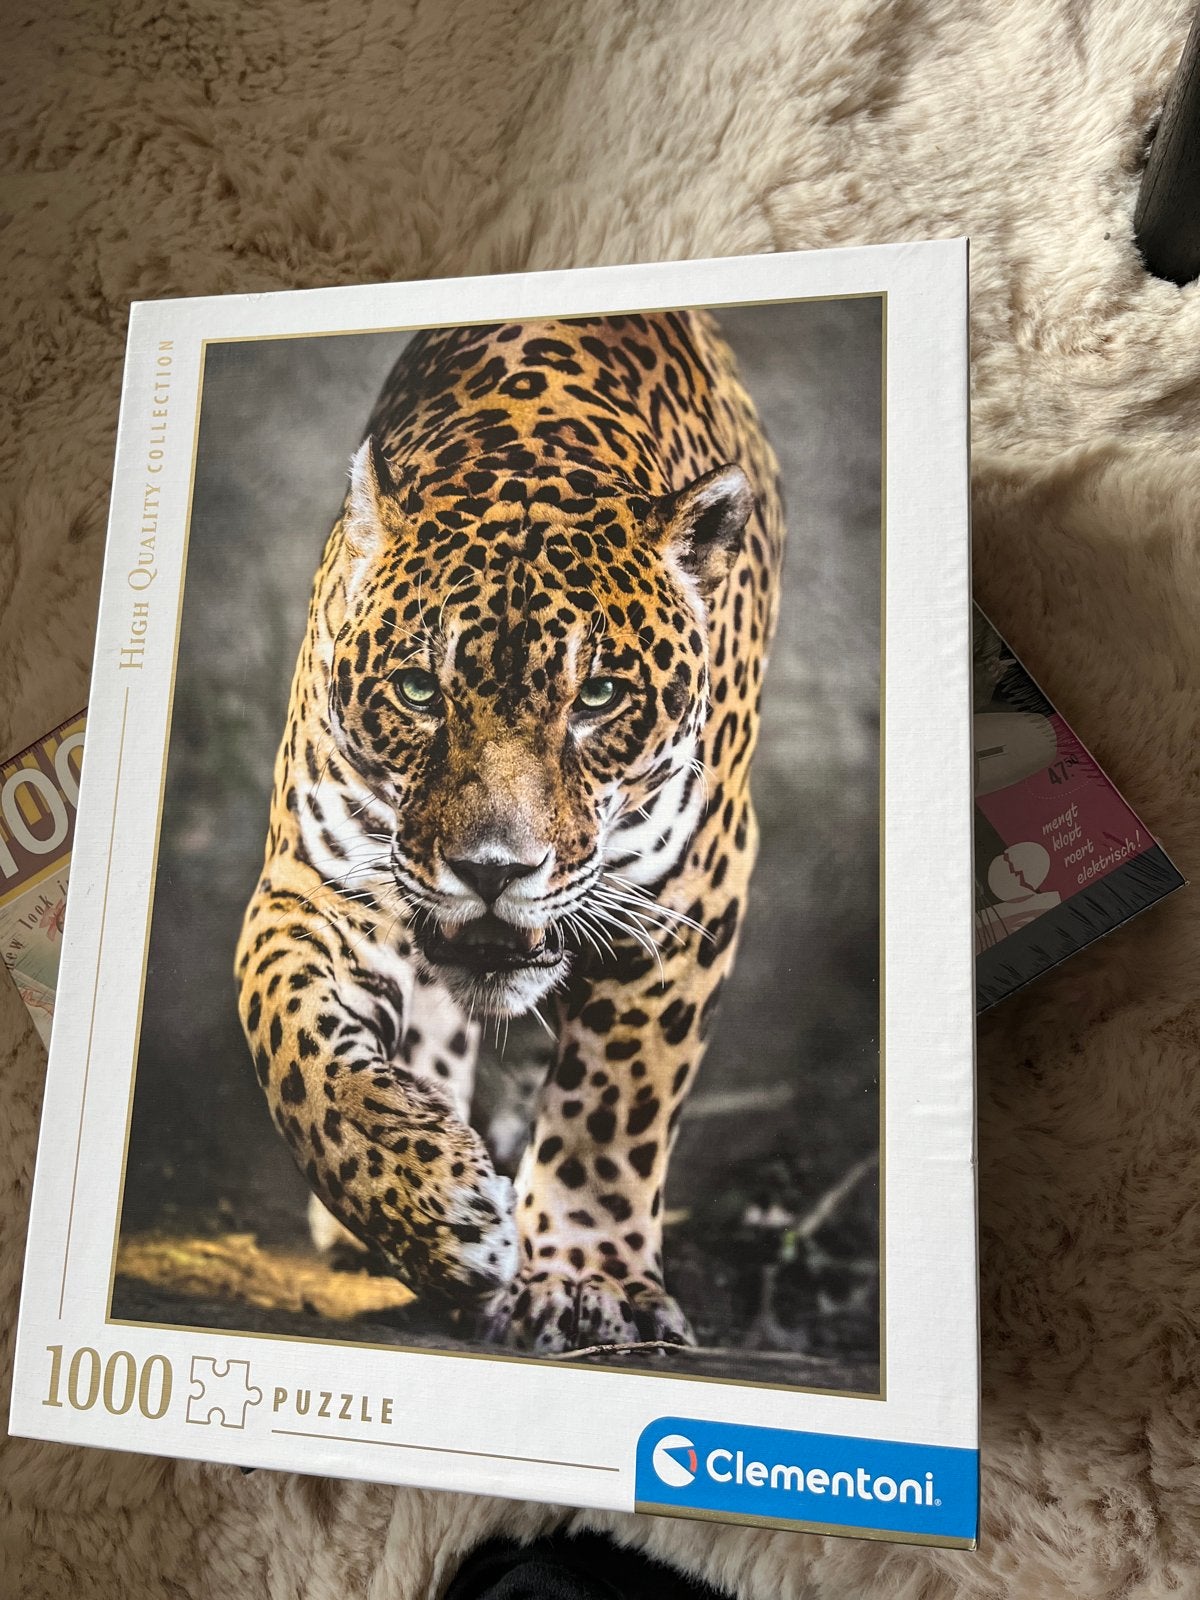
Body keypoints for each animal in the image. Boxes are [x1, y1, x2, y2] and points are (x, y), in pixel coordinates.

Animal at [235, 306, 785, 1354]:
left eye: (598, 697)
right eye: (419, 690)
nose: (493, 869)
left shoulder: (689, 891)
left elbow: (615, 1105)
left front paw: (587, 1280)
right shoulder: (317, 883)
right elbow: (295, 1049)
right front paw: (433, 1209)